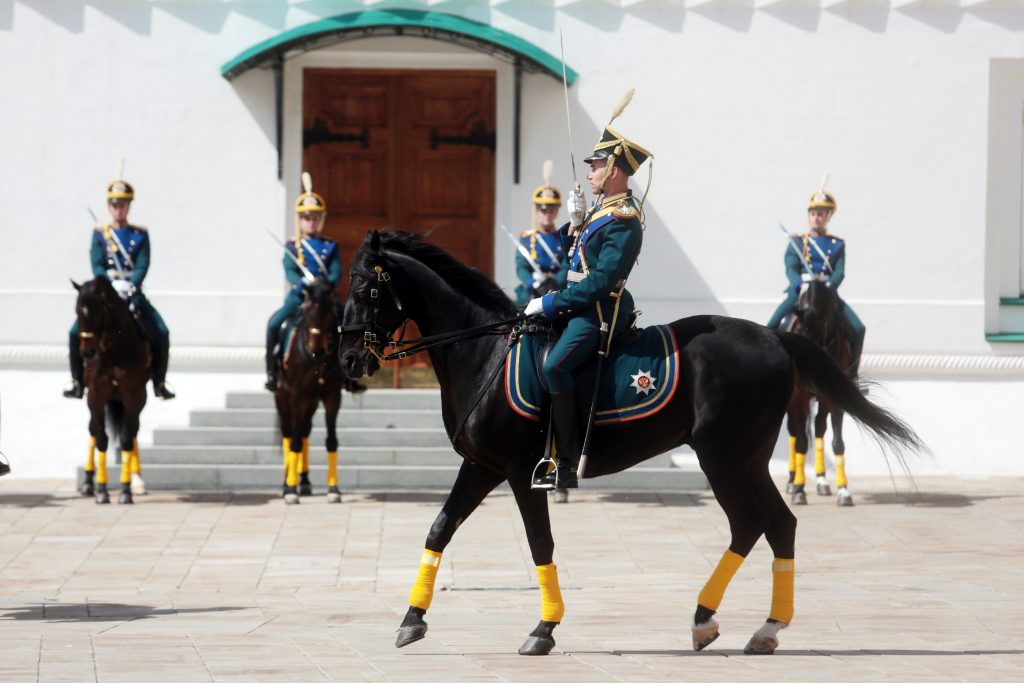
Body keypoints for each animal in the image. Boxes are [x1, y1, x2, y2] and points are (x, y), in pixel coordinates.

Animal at [72, 274, 149, 505]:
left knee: (132, 432)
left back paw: (137, 479)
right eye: (77, 310)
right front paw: (101, 490)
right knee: (93, 431)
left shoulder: (134, 396)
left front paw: (126, 489)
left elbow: (126, 439)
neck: (115, 353)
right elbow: (101, 439)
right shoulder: (96, 396)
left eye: (97, 310)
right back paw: (89, 482)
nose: (87, 352)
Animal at [272, 274, 348, 505]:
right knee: (289, 434)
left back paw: (303, 480)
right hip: (283, 398)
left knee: (304, 431)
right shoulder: (297, 396)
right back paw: (287, 483)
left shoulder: (332, 396)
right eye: (306, 312)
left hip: (311, 403)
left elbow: (331, 441)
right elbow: (294, 442)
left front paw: (333, 489)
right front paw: (290, 489)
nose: (317, 349)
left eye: (330, 312)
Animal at [786, 278, 860, 507]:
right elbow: (801, 443)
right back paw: (792, 481)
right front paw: (799, 489)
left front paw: (843, 490)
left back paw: (821, 481)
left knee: (819, 429)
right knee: (794, 433)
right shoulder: (799, 399)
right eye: (797, 335)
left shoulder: (834, 401)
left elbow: (838, 444)